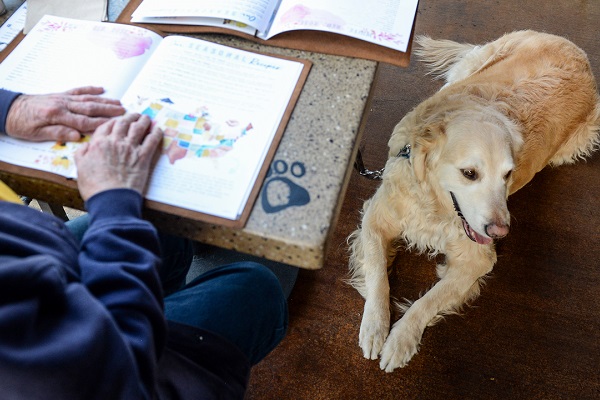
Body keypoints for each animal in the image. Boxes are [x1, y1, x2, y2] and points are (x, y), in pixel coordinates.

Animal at [350, 30, 596, 372]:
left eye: (508, 174)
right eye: (469, 173)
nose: (500, 231)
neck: (433, 206)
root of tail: (572, 46)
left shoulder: (478, 258)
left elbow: (430, 299)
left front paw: (401, 340)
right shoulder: (375, 217)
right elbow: (377, 274)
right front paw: (375, 326)